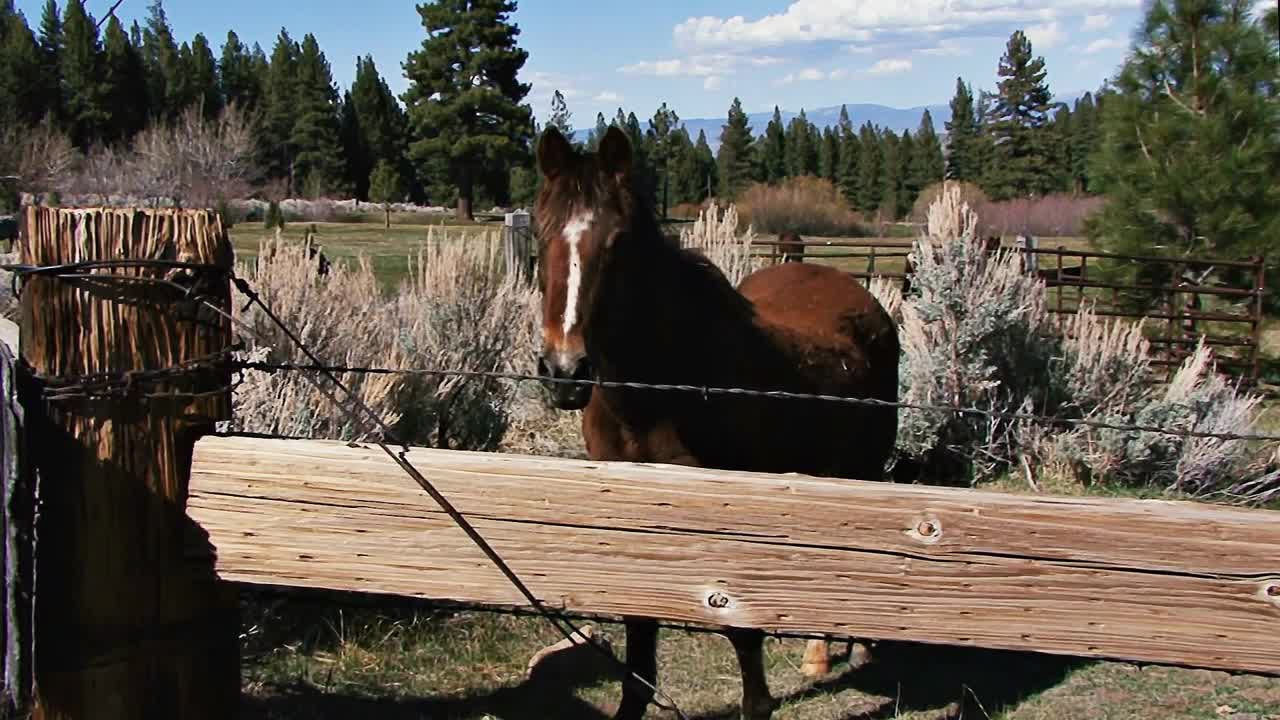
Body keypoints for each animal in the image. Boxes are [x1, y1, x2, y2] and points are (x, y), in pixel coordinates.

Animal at [529, 126, 901, 717]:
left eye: (617, 244)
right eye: (540, 235)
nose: (564, 372)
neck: (662, 392)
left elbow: (739, 624)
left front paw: (759, 703)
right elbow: (639, 624)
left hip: (859, 469)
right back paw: (819, 654)